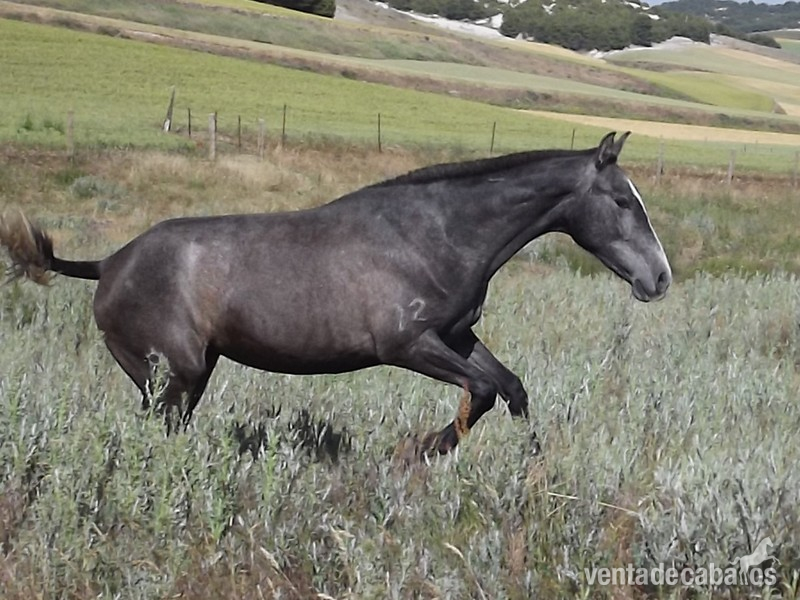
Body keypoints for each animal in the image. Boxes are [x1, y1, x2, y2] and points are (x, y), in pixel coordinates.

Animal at [0, 132, 671, 456]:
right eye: (621, 200)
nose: (659, 278)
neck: (437, 232)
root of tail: (109, 262)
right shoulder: (406, 345)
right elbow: (480, 392)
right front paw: (417, 451)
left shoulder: (455, 336)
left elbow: (510, 389)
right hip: (173, 370)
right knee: (160, 425)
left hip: (193, 372)